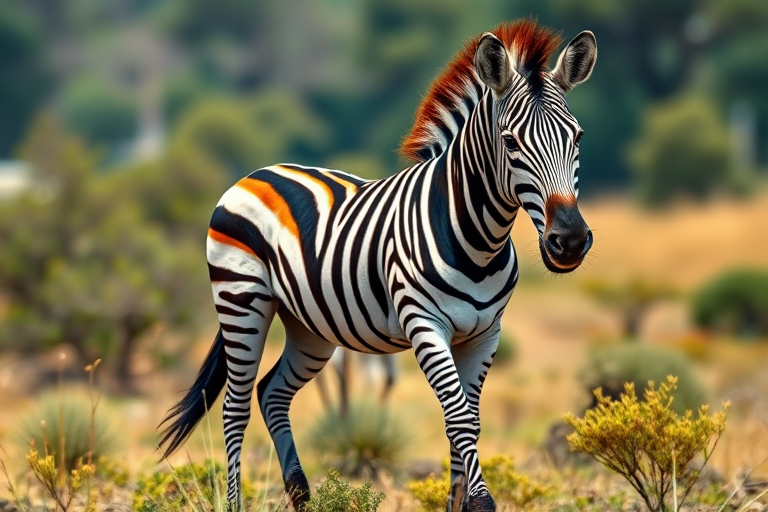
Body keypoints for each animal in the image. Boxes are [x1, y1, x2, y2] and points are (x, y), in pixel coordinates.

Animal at [159, 19, 597, 512]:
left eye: (577, 137)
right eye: (510, 142)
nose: (570, 241)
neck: (478, 241)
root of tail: (256, 174)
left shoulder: (486, 334)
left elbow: (466, 421)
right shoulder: (425, 324)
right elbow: (460, 420)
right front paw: (481, 503)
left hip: (310, 326)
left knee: (272, 392)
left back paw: (302, 495)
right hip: (241, 301)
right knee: (235, 405)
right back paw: (234, 503)